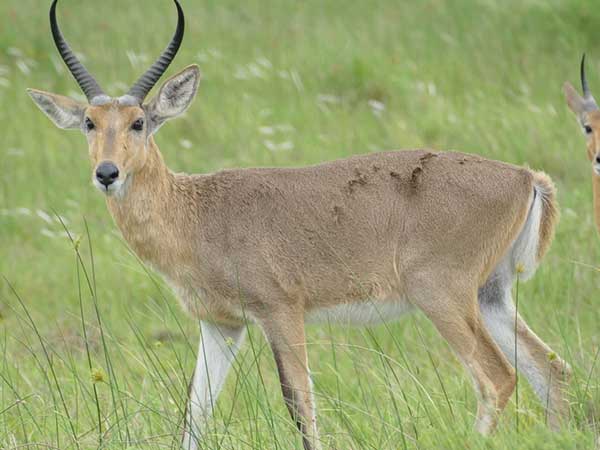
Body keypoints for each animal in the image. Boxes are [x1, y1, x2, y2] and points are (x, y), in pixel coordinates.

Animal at [29, 1, 572, 448]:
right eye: (89, 122)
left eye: (138, 122)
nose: (107, 173)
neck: (198, 214)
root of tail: (526, 176)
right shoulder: (221, 325)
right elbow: (195, 414)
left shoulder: (281, 312)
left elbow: (301, 406)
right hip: (491, 295)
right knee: (551, 370)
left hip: (441, 294)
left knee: (497, 378)